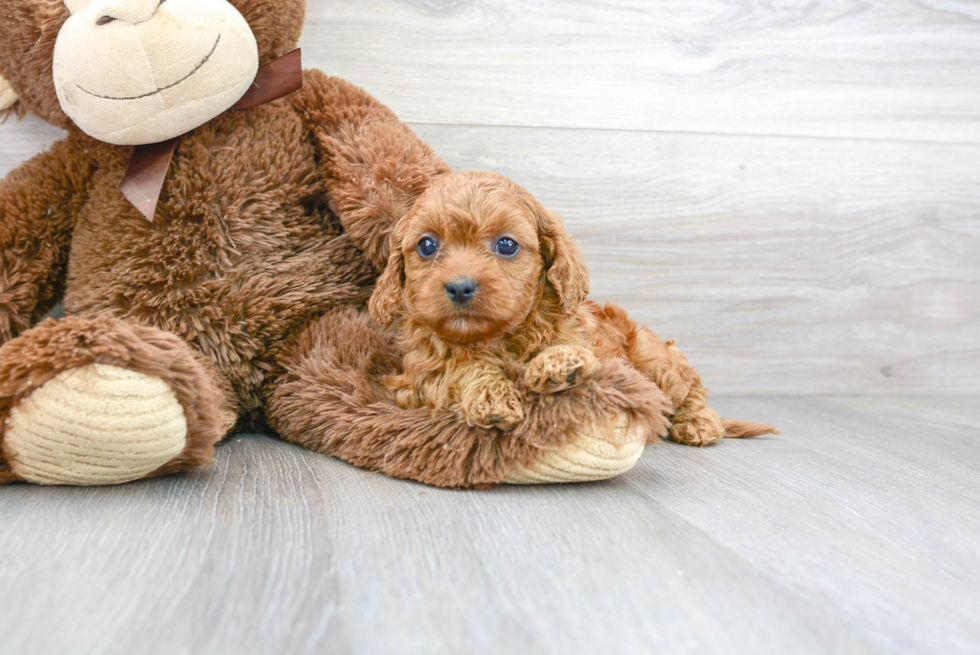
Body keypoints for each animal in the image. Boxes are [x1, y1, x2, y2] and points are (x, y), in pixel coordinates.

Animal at [372, 169, 776, 446]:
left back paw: (699, 424)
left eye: (506, 245)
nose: (459, 286)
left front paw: (559, 364)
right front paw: (491, 395)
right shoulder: (415, 380)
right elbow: (459, 370)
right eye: (427, 245)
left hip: (654, 356)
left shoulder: (601, 353)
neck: (495, 337)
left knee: (690, 392)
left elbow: (576, 351)